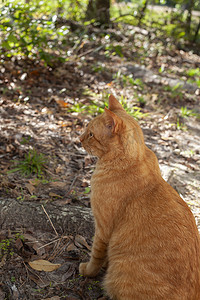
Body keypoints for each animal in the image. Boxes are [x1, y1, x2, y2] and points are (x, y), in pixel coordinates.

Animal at [78, 95, 200, 298]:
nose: (79, 139)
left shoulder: (103, 228)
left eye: (91, 134)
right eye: (86, 130)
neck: (135, 159)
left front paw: (87, 270)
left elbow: (96, 255)